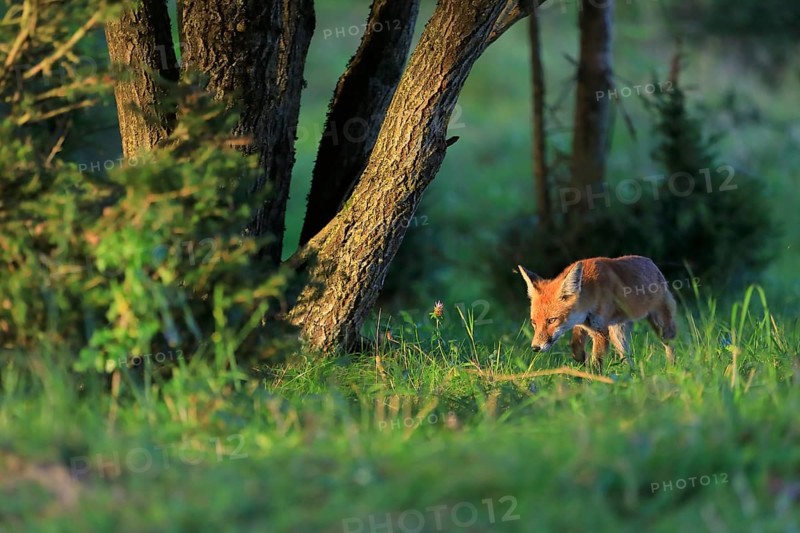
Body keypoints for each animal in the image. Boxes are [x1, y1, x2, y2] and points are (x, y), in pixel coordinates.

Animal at [517, 255, 677, 371]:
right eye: (533, 322)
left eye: (551, 320)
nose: (535, 348)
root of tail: (651, 263)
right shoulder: (584, 324)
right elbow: (575, 345)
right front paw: (581, 361)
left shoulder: (601, 332)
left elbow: (596, 363)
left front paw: (594, 384)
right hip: (617, 333)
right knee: (627, 357)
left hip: (661, 327)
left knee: (670, 346)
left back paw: (672, 370)